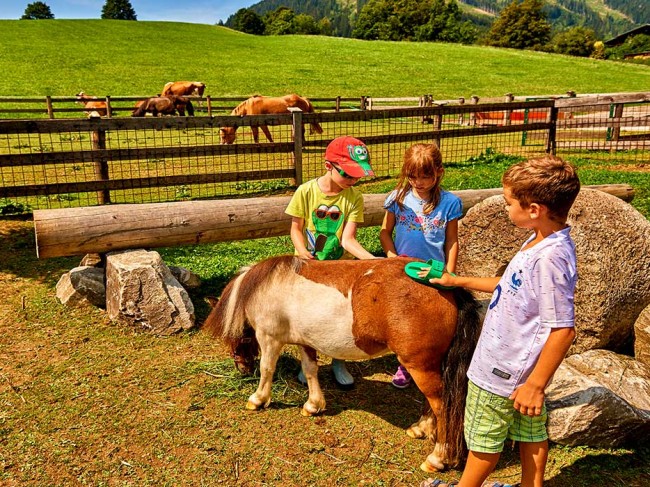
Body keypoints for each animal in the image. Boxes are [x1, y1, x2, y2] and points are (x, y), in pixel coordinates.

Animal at [204, 255, 480, 472]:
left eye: (235, 338)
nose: (242, 368)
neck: (269, 286)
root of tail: (444, 286)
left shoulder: (269, 338)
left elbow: (267, 369)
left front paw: (258, 399)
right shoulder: (305, 342)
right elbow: (310, 371)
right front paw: (313, 405)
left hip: (420, 366)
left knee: (442, 406)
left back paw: (438, 457)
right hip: (428, 365)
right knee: (432, 402)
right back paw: (421, 428)